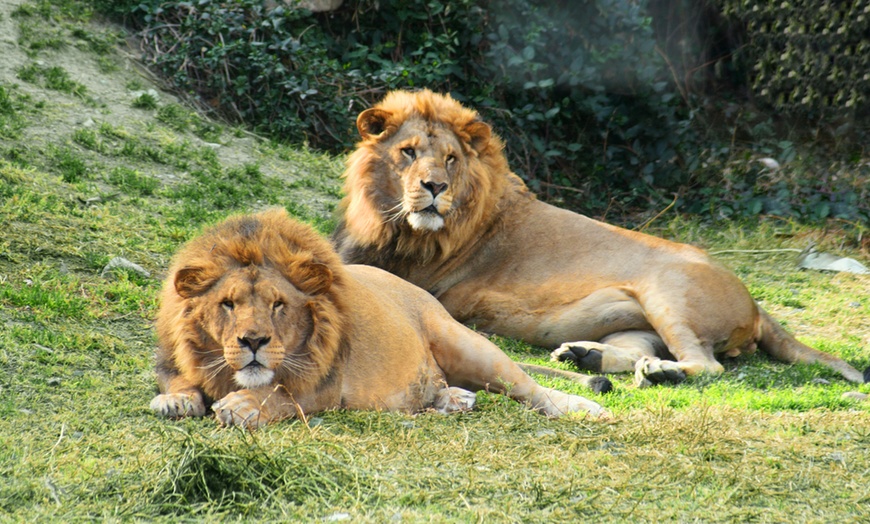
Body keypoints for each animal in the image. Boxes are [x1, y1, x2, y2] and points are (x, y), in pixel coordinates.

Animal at [148, 207, 608, 428]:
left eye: (279, 305)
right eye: (228, 304)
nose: (254, 341)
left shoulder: (328, 385)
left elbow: (282, 394)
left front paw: (242, 406)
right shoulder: (172, 359)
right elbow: (177, 380)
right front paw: (176, 400)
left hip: (466, 343)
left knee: (530, 388)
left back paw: (585, 408)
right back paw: (451, 399)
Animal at [330, 89, 868, 384]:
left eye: (450, 160)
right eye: (407, 152)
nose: (435, 187)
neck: (392, 221)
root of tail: (757, 304)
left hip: (668, 291)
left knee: (706, 366)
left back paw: (660, 374)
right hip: (637, 320)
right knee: (639, 350)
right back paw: (586, 355)